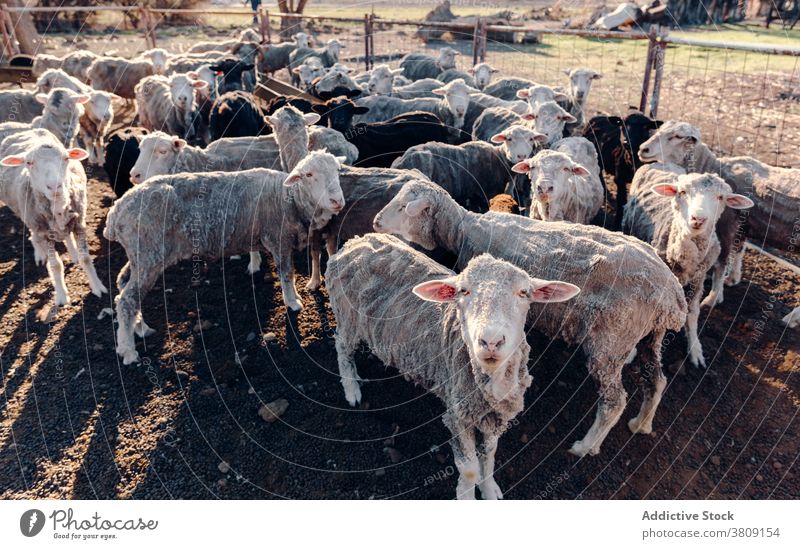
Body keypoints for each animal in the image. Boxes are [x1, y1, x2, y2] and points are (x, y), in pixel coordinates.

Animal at [0, 131, 106, 306]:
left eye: (66, 158)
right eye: (29, 163)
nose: (55, 186)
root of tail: (23, 132)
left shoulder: (80, 223)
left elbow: (85, 258)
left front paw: (98, 287)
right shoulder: (44, 232)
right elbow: (55, 265)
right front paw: (62, 296)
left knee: (66, 235)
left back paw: (73, 253)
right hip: (29, 216)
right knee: (34, 235)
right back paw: (39, 253)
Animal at [104, 150, 346, 364]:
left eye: (337, 170)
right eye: (309, 175)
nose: (337, 201)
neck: (289, 198)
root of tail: (116, 213)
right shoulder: (278, 238)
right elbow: (287, 274)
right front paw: (293, 302)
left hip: (139, 255)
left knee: (123, 286)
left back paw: (140, 328)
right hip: (149, 255)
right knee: (127, 300)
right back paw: (128, 351)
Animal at [328, 231, 580, 496]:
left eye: (524, 293)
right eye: (463, 291)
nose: (491, 341)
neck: (491, 383)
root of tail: (357, 240)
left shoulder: (493, 416)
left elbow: (489, 455)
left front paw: (489, 490)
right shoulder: (458, 415)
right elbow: (469, 470)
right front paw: (467, 495)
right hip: (347, 317)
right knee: (342, 348)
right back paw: (351, 388)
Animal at [376, 178, 688, 456]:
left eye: (404, 207)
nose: (377, 222)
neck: (464, 228)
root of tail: (671, 290)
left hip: (612, 341)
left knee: (614, 401)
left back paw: (585, 446)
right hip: (650, 334)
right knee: (657, 380)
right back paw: (641, 424)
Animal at [620, 165, 752, 366]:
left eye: (720, 197)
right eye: (682, 192)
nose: (698, 219)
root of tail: (659, 163)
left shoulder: (697, 280)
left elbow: (693, 313)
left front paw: (695, 348)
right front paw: (629, 352)